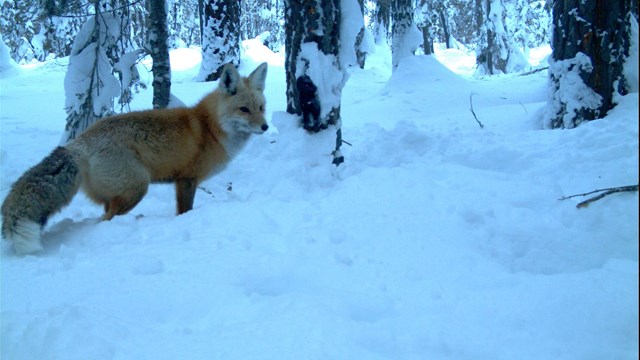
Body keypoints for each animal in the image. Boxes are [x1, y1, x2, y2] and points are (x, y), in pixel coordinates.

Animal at [1, 62, 268, 255]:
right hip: (137, 187)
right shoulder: (186, 180)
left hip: (116, 193)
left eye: (261, 108)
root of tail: (78, 143)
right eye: (244, 109)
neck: (210, 127)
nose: (265, 127)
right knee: (104, 221)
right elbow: (185, 211)